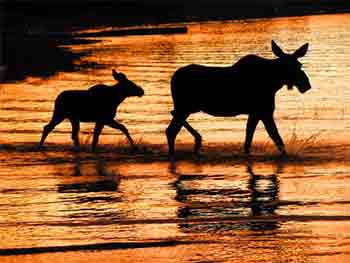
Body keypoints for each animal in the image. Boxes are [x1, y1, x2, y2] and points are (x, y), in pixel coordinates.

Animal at [167, 40, 312, 158]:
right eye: (291, 67)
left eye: (299, 64)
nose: (306, 84)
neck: (273, 82)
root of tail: (173, 78)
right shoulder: (263, 112)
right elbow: (276, 137)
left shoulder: (256, 113)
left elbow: (249, 139)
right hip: (185, 107)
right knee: (171, 129)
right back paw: (195, 141)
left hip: (188, 107)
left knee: (172, 121)